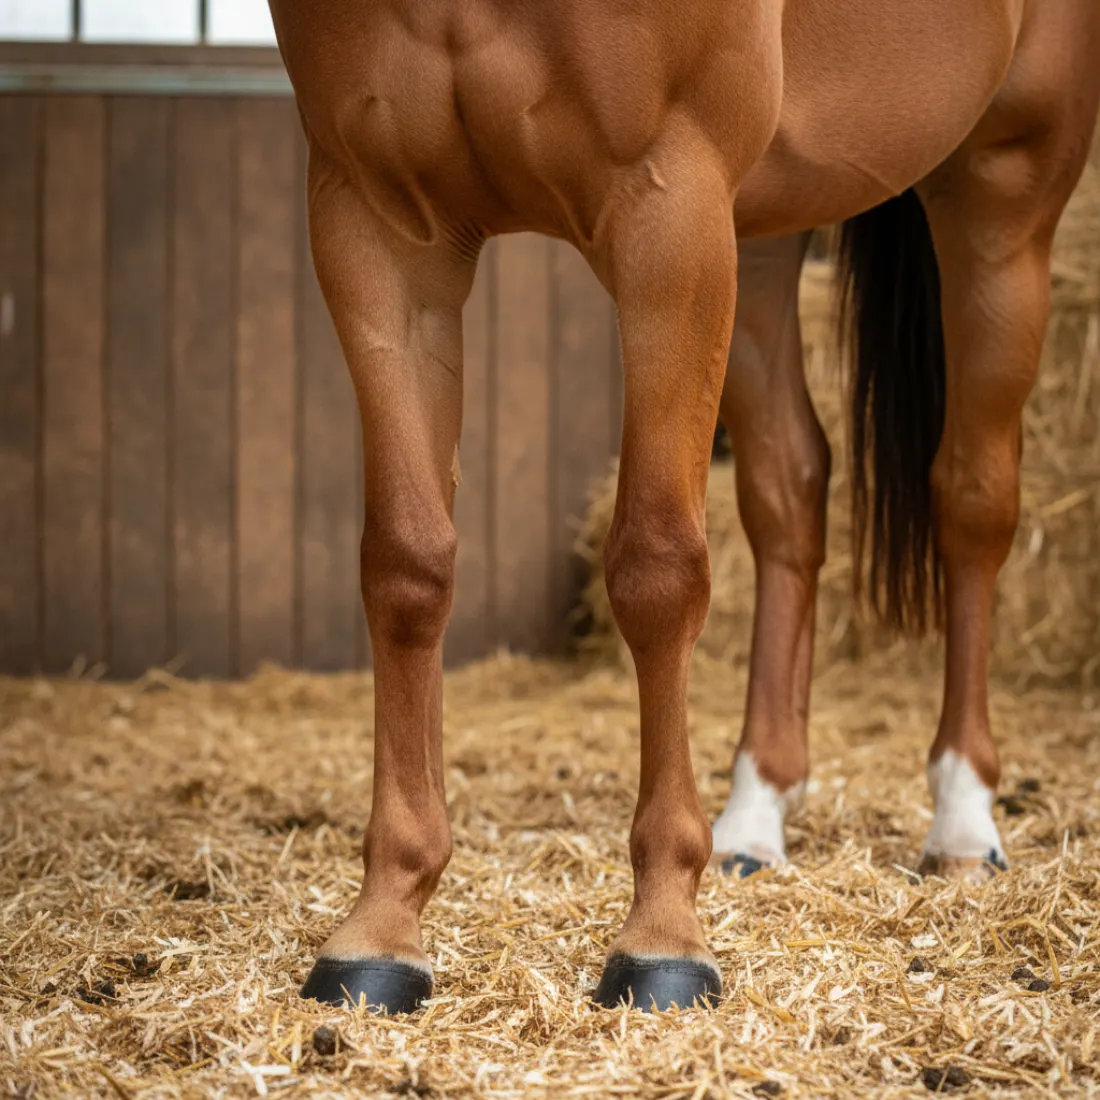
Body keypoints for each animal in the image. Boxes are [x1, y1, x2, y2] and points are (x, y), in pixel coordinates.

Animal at [267, 0, 1100, 1014]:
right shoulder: (378, 226)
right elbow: (406, 564)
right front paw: (383, 925)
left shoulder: (671, 212)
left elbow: (659, 571)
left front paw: (661, 935)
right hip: (765, 233)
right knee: (791, 486)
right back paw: (754, 816)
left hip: (1001, 193)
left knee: (972, 501)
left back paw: (962, 820)